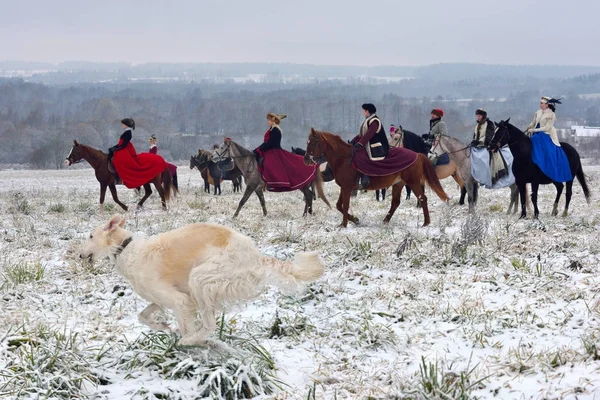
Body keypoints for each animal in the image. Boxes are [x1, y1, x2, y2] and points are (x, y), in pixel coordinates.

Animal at [81, 214, 324, 346]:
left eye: (90, 236)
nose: (80, 255)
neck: (126, 249)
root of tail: (256, 255)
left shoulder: (179, 300)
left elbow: (184, 324)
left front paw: (182, 337)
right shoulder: (161, 299)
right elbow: (143, 316)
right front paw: (163, 326)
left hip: (201, 278)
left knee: (210, 324)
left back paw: (190, 340)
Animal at [304, 129, 450, 228]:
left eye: (313, 143)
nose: (306, 160)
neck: (343, 159)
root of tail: (417, 155)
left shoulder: (347, 187)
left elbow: (345, 206)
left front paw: (344, 225)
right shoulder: (345, 188)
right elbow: (339, 205)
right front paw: (355, 220)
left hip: (412, 182)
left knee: (422, 198)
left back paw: (426, 222)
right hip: (399, 183)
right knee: (395, 202)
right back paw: (385, 221)